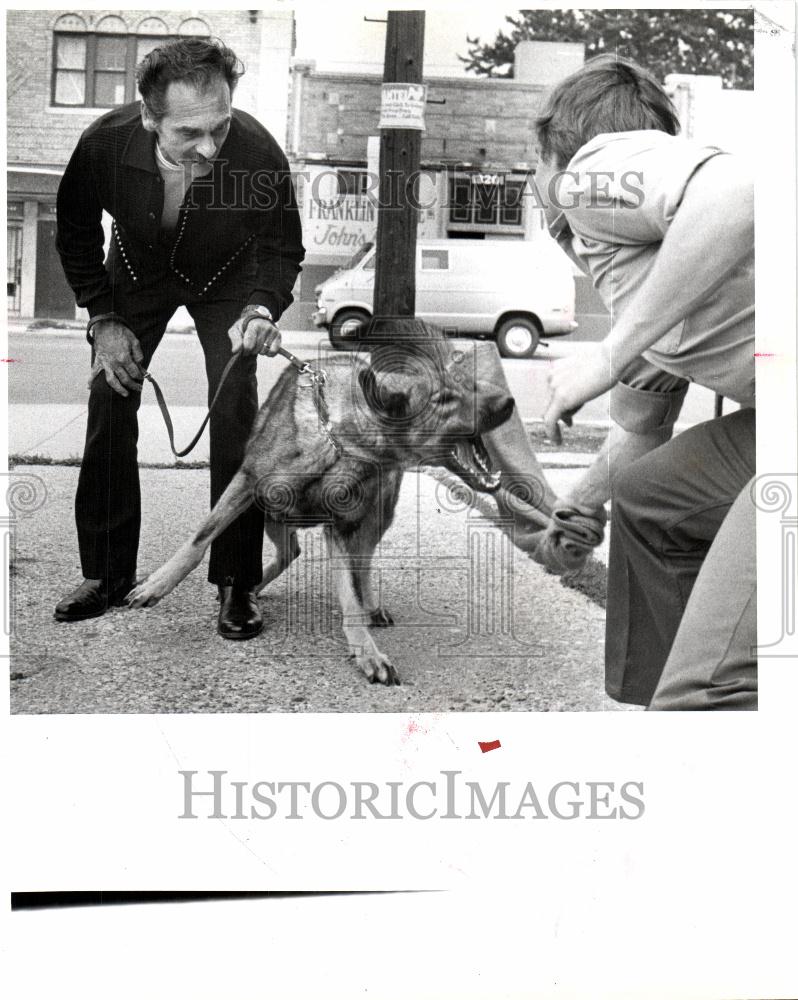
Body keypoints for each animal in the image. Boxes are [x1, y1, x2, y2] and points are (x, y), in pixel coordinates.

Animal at [125, 332, 512, 684]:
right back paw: (253, 587)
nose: (508, 402)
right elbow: (200, 538)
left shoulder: (339, 526)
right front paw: (157, 584)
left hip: (374, 518)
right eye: (444, 399)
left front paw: (366, 650)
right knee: (291, 550)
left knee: (359, 564)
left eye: (471, 385)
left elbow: (350, 597)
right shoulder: (247, 483)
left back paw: (369, 603)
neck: (337, 440)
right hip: (270, 511)